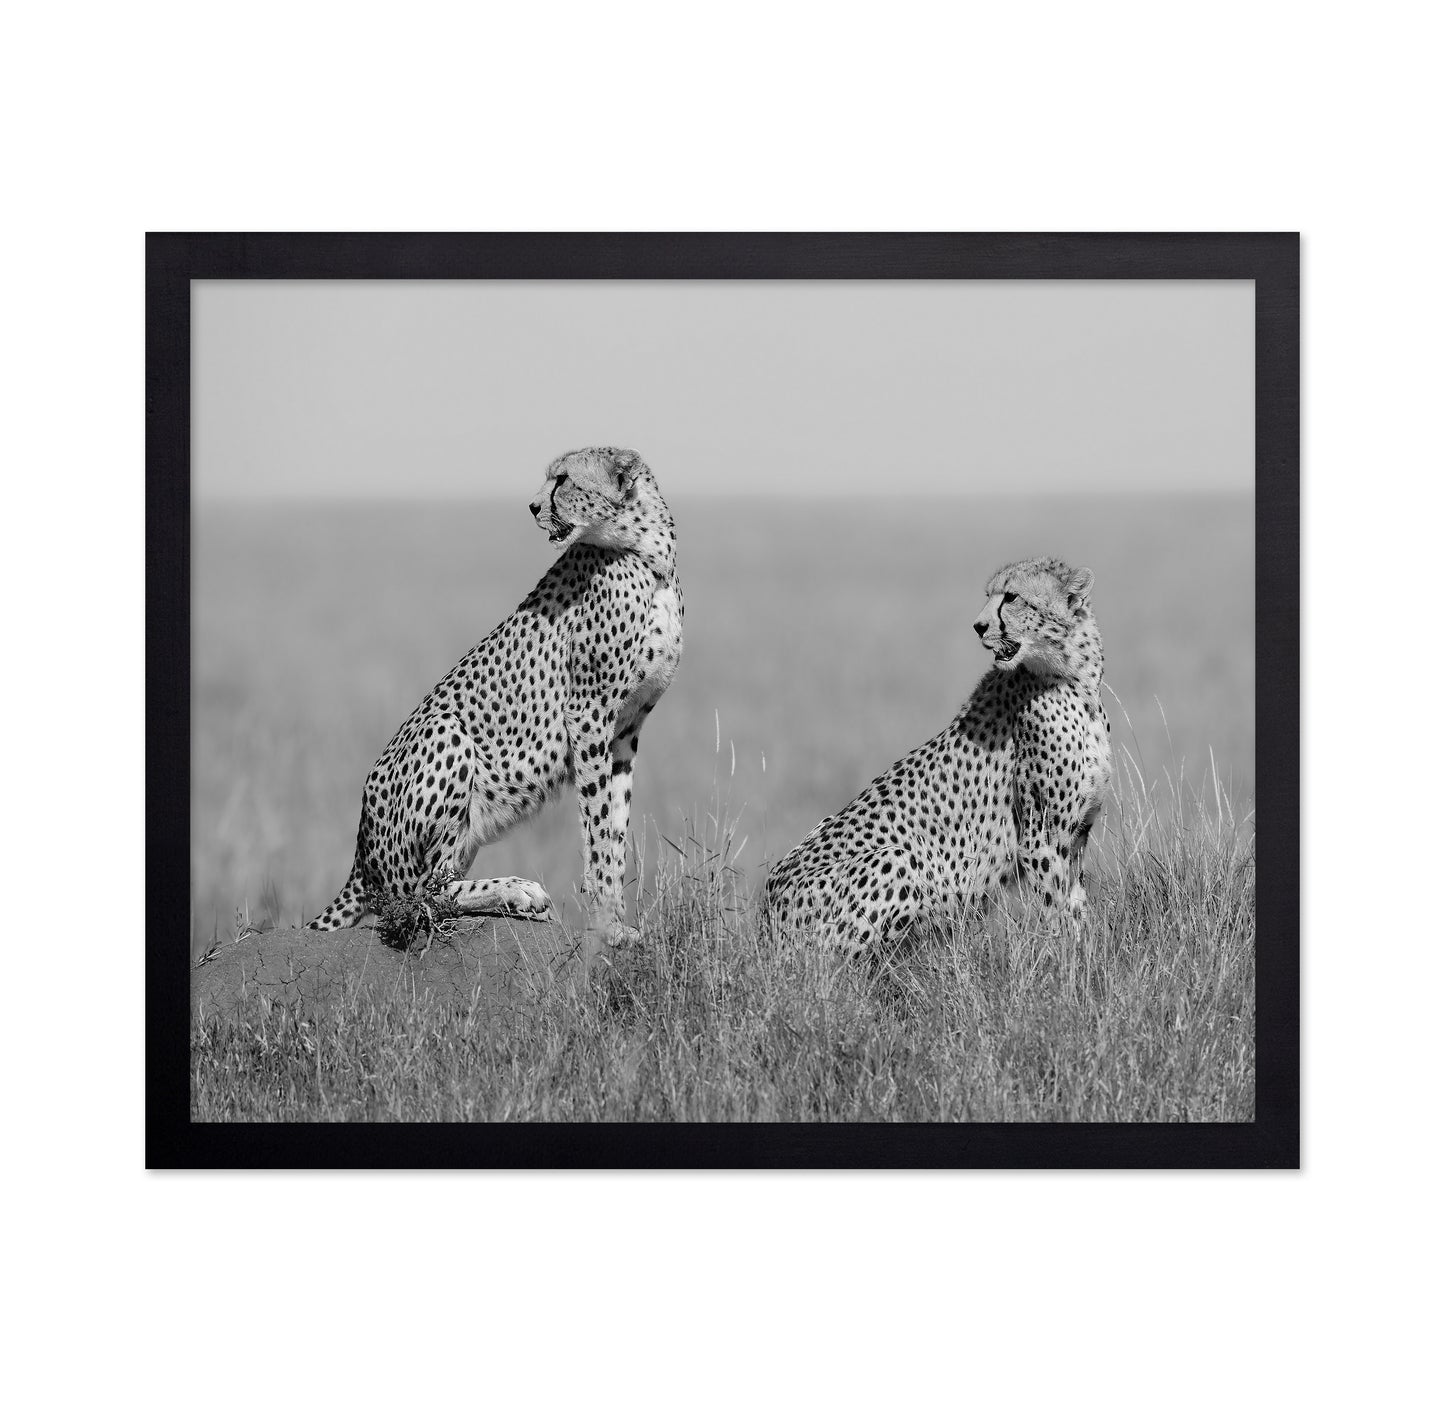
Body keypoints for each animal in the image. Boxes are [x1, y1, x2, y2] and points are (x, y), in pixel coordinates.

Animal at [306, 447, 683, 968]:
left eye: (563, 479)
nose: (532, 506)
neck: (648, 553)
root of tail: (360, 854)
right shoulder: (588, 713)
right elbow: (597, 828)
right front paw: (608, 925)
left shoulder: (626, 729)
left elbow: (615, 827)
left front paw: (618, 922)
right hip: (447, 732)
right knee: (420, 895)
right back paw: (520, 891)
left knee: (433, 885)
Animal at [762, 556, 1111, 954]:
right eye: (989, 596)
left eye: (1011, 597)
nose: (978, 626)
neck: (1076, 679)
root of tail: (766, 915)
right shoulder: (1042, 839)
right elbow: (1057, 913)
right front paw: (1064, 960)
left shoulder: (1077, 834)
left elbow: (1076, 906)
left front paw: (1084, 955)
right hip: (895, 860)